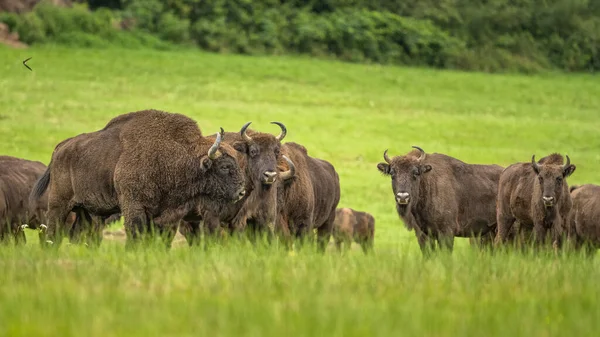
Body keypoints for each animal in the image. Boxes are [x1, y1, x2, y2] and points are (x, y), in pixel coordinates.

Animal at [29, 109, 246, 248]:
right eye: (225, 166)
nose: (242, 191)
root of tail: (61, 147)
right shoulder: (134, 207)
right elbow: (135, 235)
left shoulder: (169, 215)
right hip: (59, 203)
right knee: (53, 231)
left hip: (86, 211)